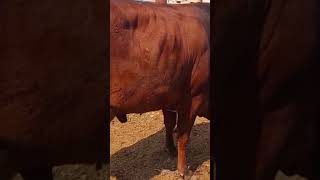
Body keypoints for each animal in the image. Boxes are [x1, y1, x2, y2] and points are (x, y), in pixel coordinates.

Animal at [110, 0, 210, 177]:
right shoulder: (195, 96)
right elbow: (183, 136)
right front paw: (184, 170)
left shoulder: (167, 94)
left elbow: (169, 124)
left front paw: (170, 149)